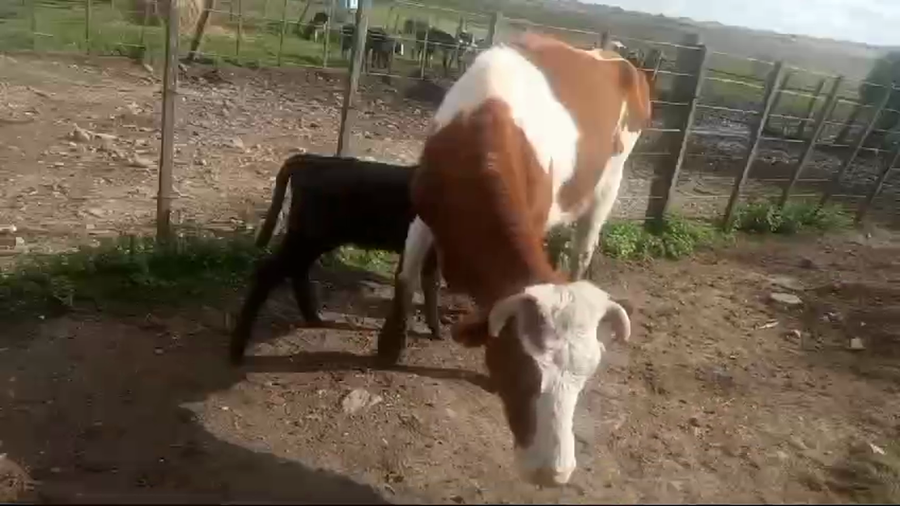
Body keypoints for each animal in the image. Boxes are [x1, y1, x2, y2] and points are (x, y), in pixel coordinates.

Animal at [229, 153, 442, 365]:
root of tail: (311, 159)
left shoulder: (432, 255)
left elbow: (431, 286)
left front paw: (436, 330)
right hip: (307, 239)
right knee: (268, 273)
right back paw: (237, 350)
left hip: (312, 241)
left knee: (297, 271)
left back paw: (314, 318)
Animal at [376, 33, 651, 486]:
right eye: (521, 370)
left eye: (586, 378)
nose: (553, 473)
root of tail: (614, 56)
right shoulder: (424, 207)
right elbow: (407, 272)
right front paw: (389, 344)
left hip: (611, 180)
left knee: (584, 245)